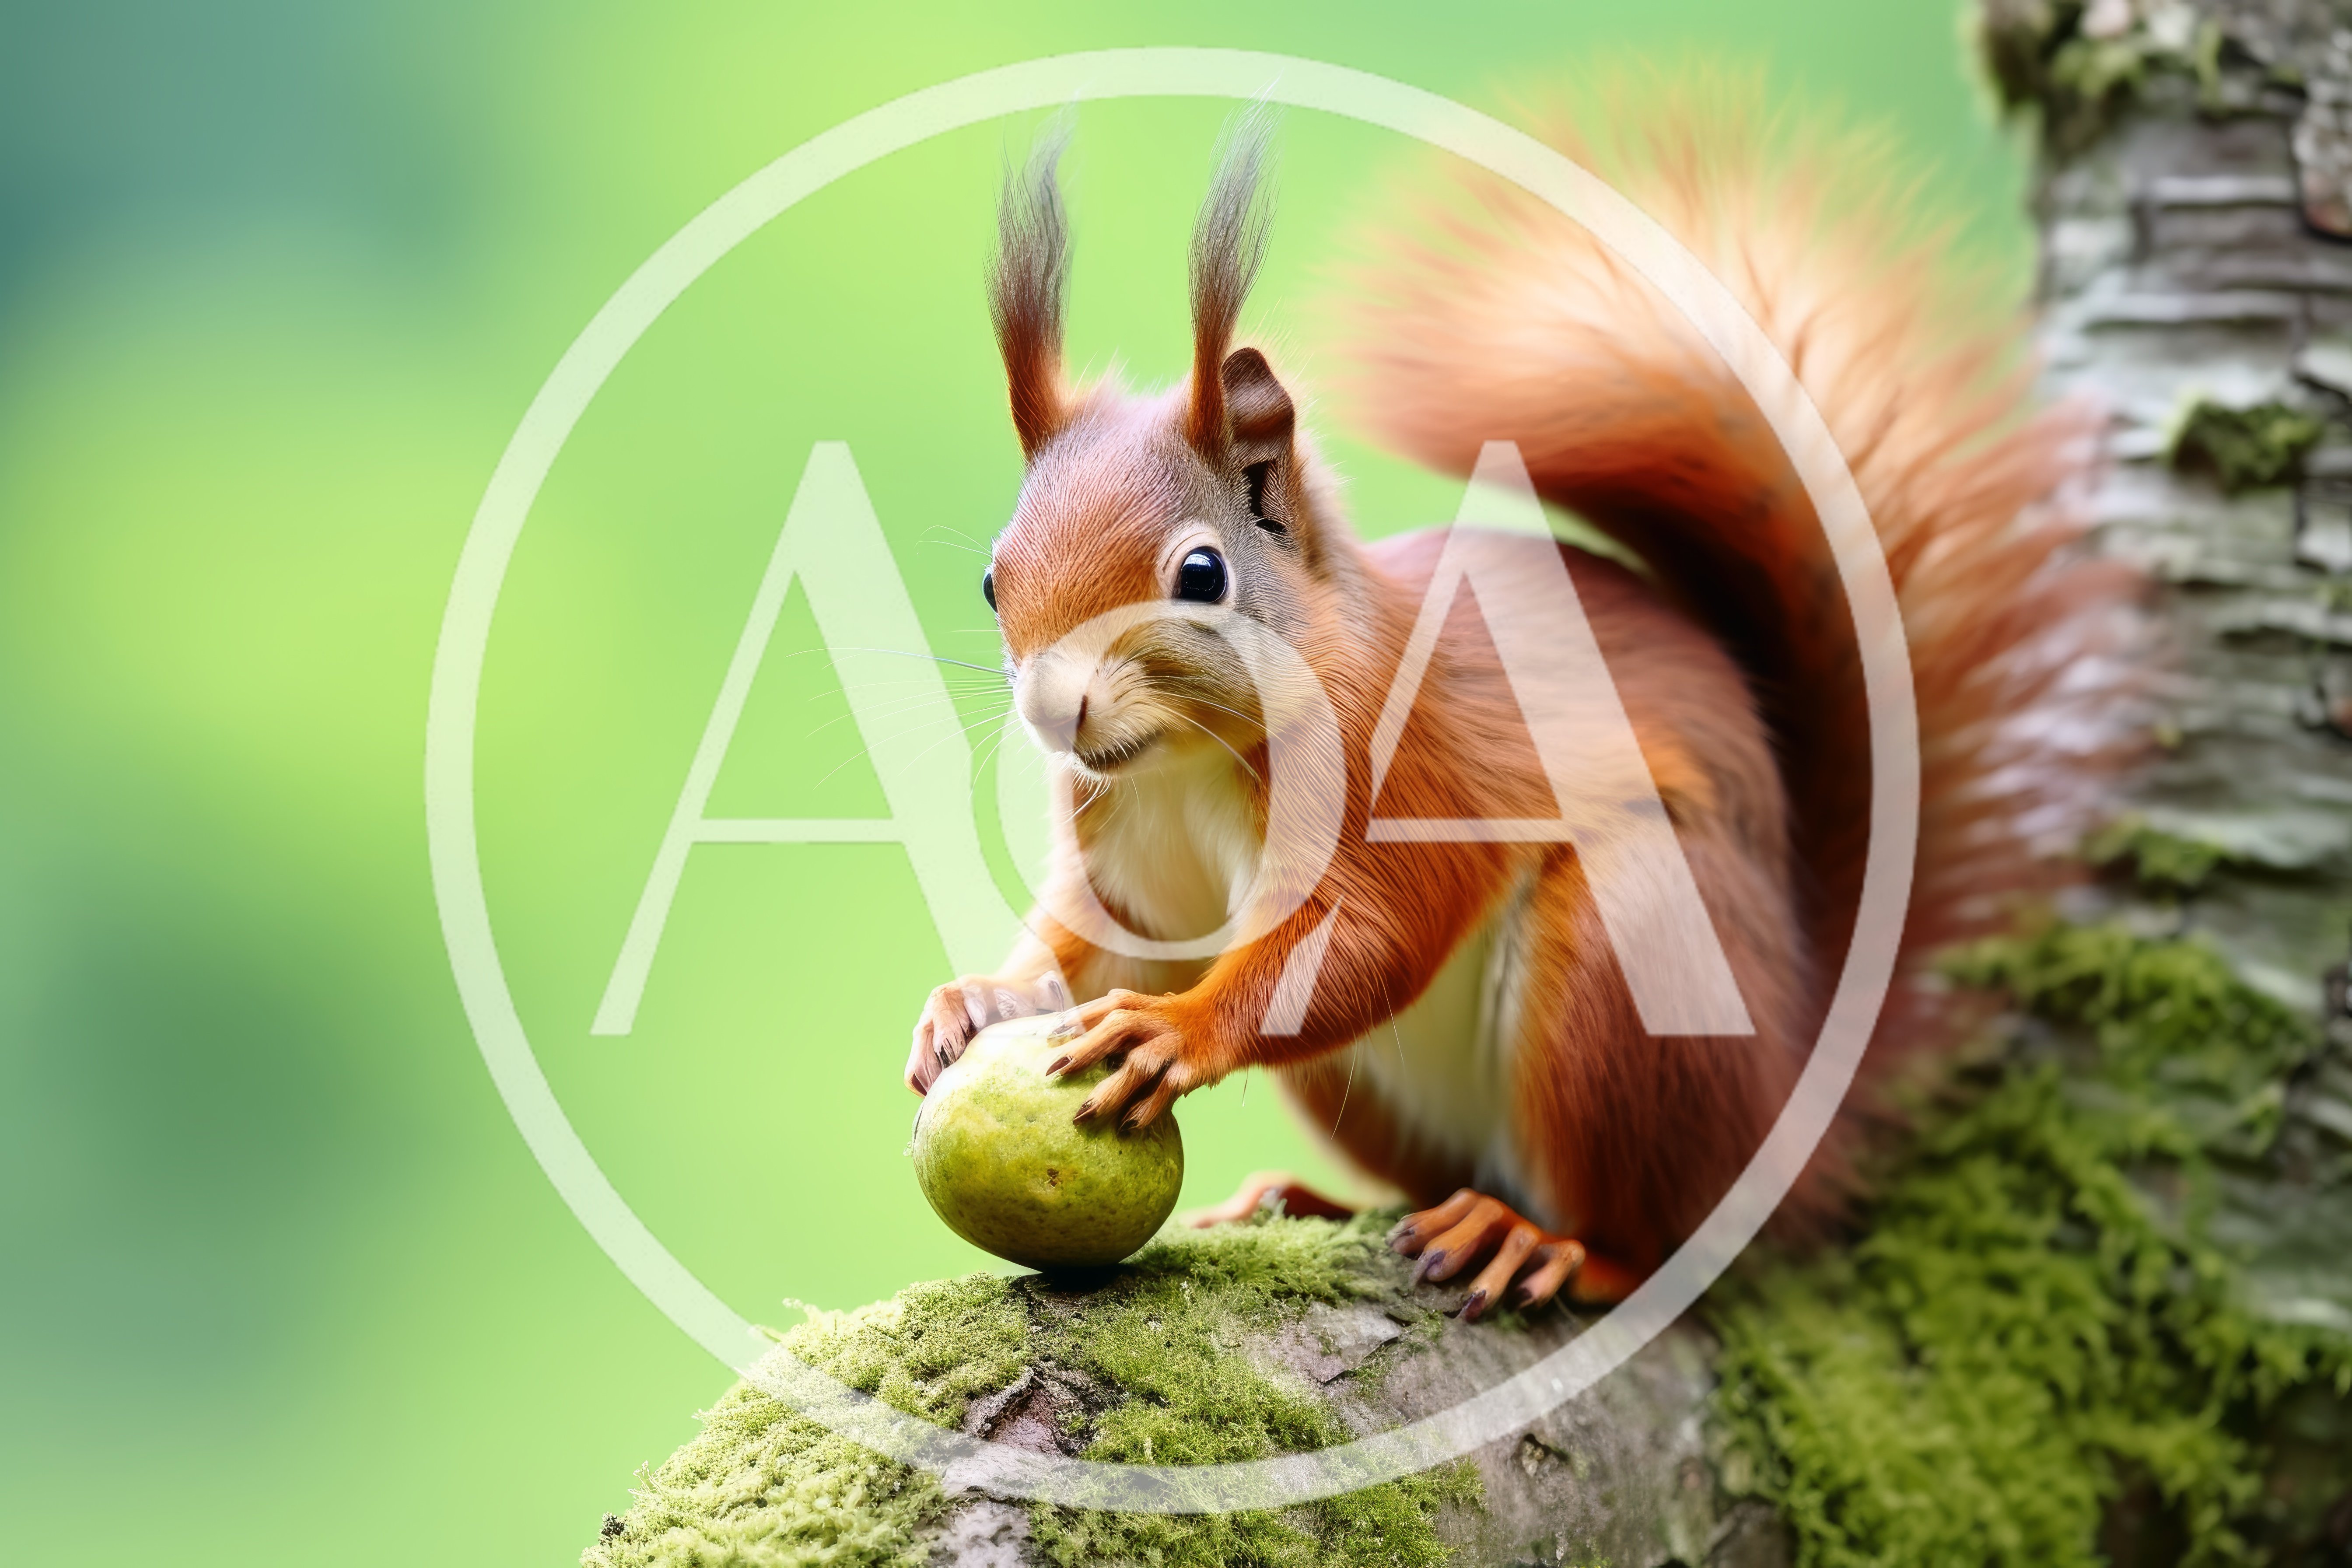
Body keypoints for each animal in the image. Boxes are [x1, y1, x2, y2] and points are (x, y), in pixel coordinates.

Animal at [904, 86, 2137, 1318]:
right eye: (994, 580)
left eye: (1201, 574)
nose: (1055, 711)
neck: (1188, 759)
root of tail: (1794, 1109)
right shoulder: (1137, 861)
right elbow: (1102, 944)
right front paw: (975, 1002)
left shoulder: (1407, 768)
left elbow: (1374, 937)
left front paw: (1176, 1028)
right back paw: (1313, 1202)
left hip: (1632, 961)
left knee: (1647, 1237)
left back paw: (1542, 1241)